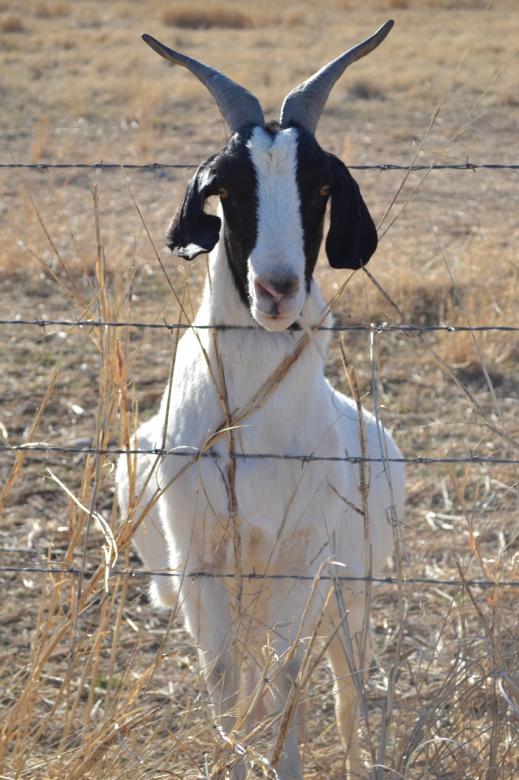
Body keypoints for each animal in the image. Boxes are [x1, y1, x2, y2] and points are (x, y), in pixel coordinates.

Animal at [116, 20, 405, 780]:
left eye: (321, 182)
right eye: (226, 186)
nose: (276, 290)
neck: (255, 432)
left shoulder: (300, 560)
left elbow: (283, 680)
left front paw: (284, 763)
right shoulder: (201, 563)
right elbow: (227, 687)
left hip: (350, 589)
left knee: (343, 685)